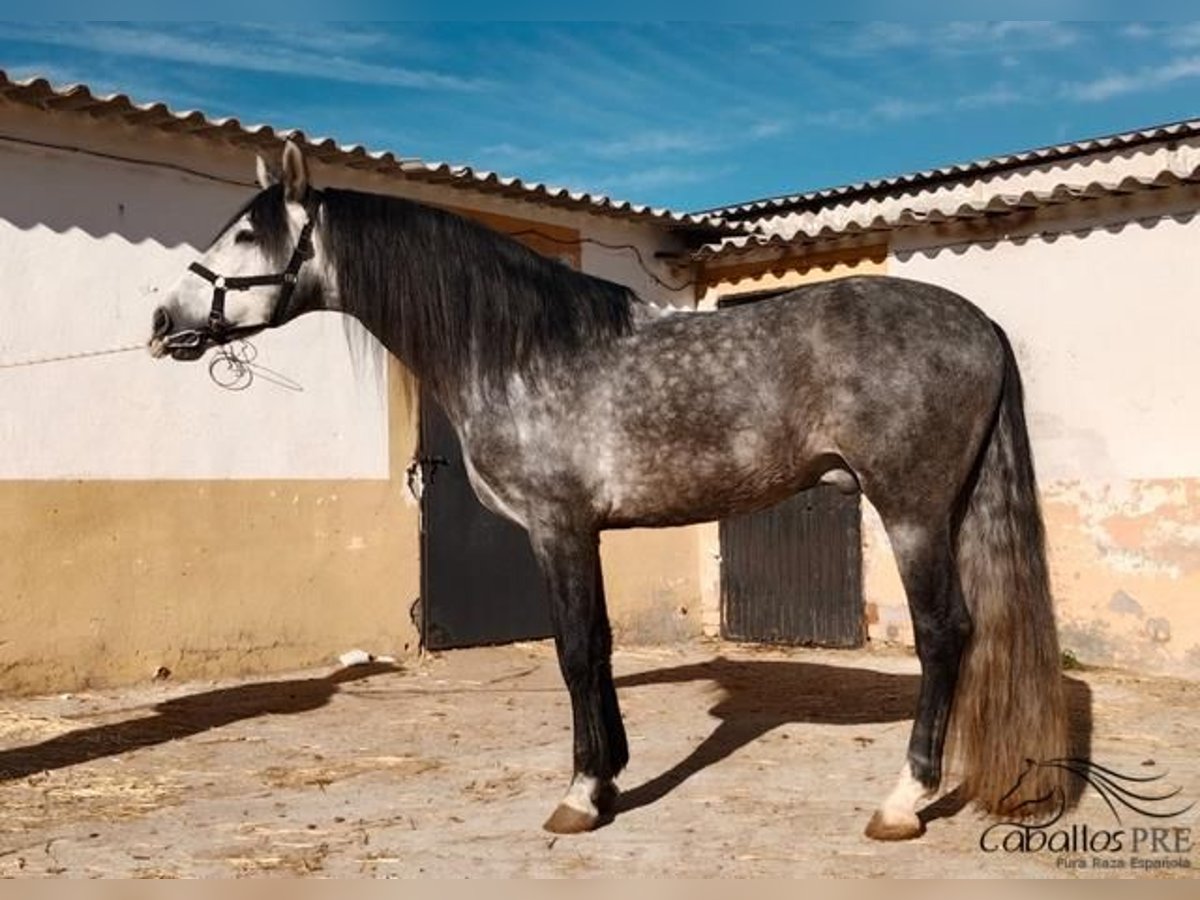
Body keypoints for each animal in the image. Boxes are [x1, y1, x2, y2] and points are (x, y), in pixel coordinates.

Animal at [147, 141, 1070, 840]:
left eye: (246, 237)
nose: (162, 324)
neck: (523, 352)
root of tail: (977, 321)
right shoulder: (583, 533)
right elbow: (598, 647)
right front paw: (611, 779)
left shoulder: (556, 527)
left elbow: (576, 651)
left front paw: (582, 795)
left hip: (912, 510)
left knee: (945, 634)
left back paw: (902, 802)